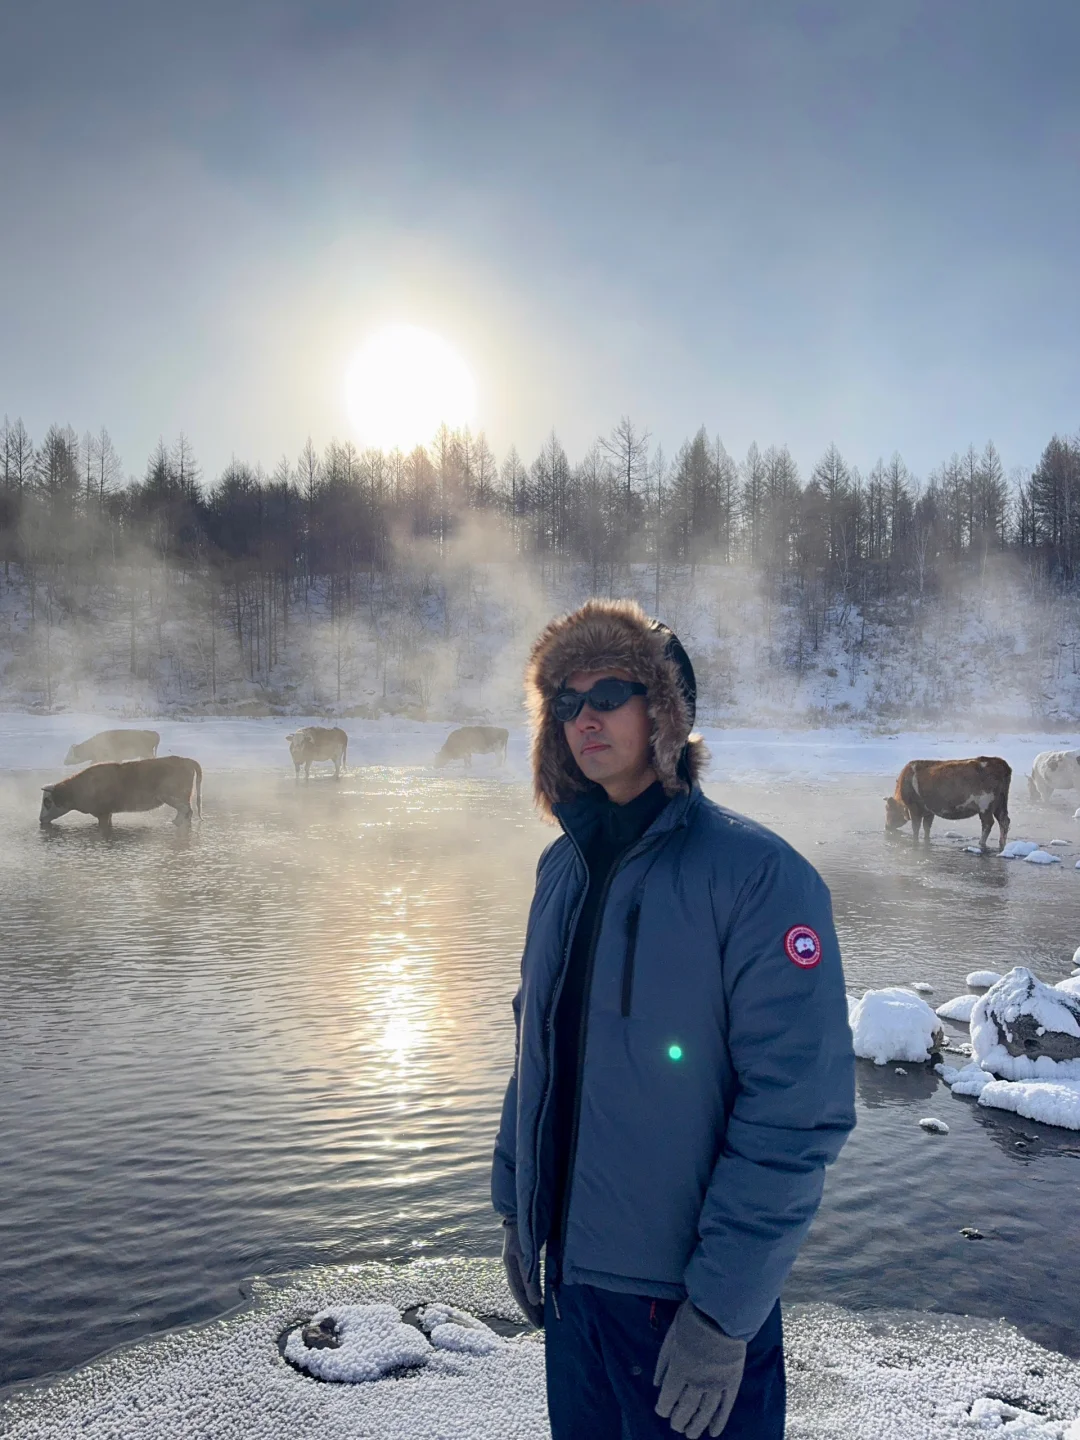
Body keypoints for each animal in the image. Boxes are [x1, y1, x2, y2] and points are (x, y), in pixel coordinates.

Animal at [39, 754, 204, 835]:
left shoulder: (103, 813)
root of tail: (185, 761)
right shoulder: (109, 813)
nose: (41, 819)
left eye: (47, 801)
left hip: (173, 797)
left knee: (186, 811)